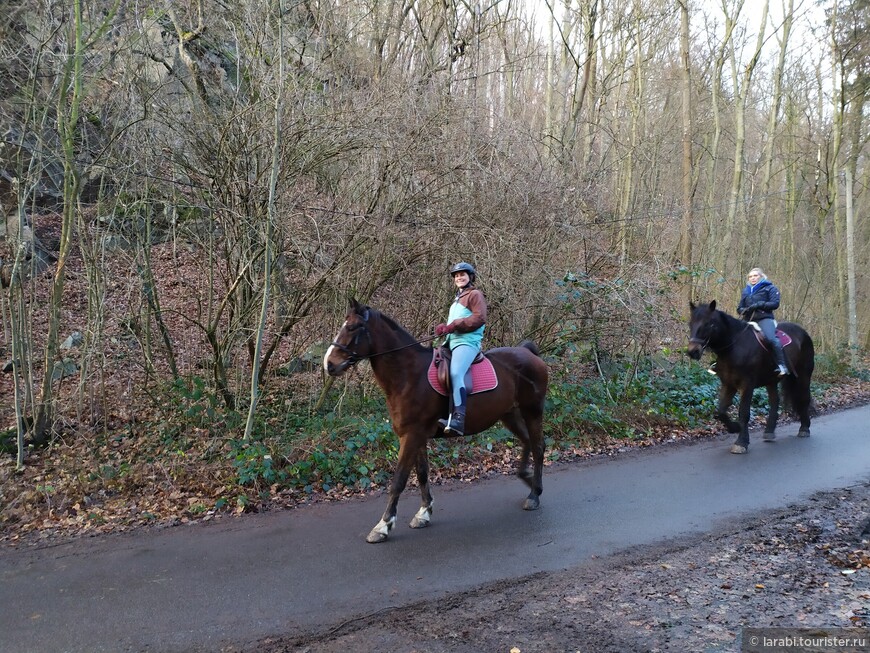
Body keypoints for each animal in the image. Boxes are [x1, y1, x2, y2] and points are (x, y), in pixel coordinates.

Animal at [324, 298, 548, 544]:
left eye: (353, 327)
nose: (329, 364)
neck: (409, 375)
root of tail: (529, 353)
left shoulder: (411, 436)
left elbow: (399, 480)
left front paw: (383, 526)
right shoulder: (416, 436)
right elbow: (422, 473)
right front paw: (423, 513)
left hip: (532, 412)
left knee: (538, 446)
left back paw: (534, 495)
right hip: (509, 414)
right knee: (527, 442)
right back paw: (527, 479)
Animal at [688, 300, 816, 454]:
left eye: (708, 324)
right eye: (690, 323)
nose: (693, 351)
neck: (734, 346)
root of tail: (803, 332)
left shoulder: (747, 385)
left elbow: (744, 413)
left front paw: (741, 442)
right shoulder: (728, 384)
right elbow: (720, 412)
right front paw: (735, 428)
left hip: (803, 376)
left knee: (804, 399)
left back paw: (804, 428)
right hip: (771, 380)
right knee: (775, 401)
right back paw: (769, 431)